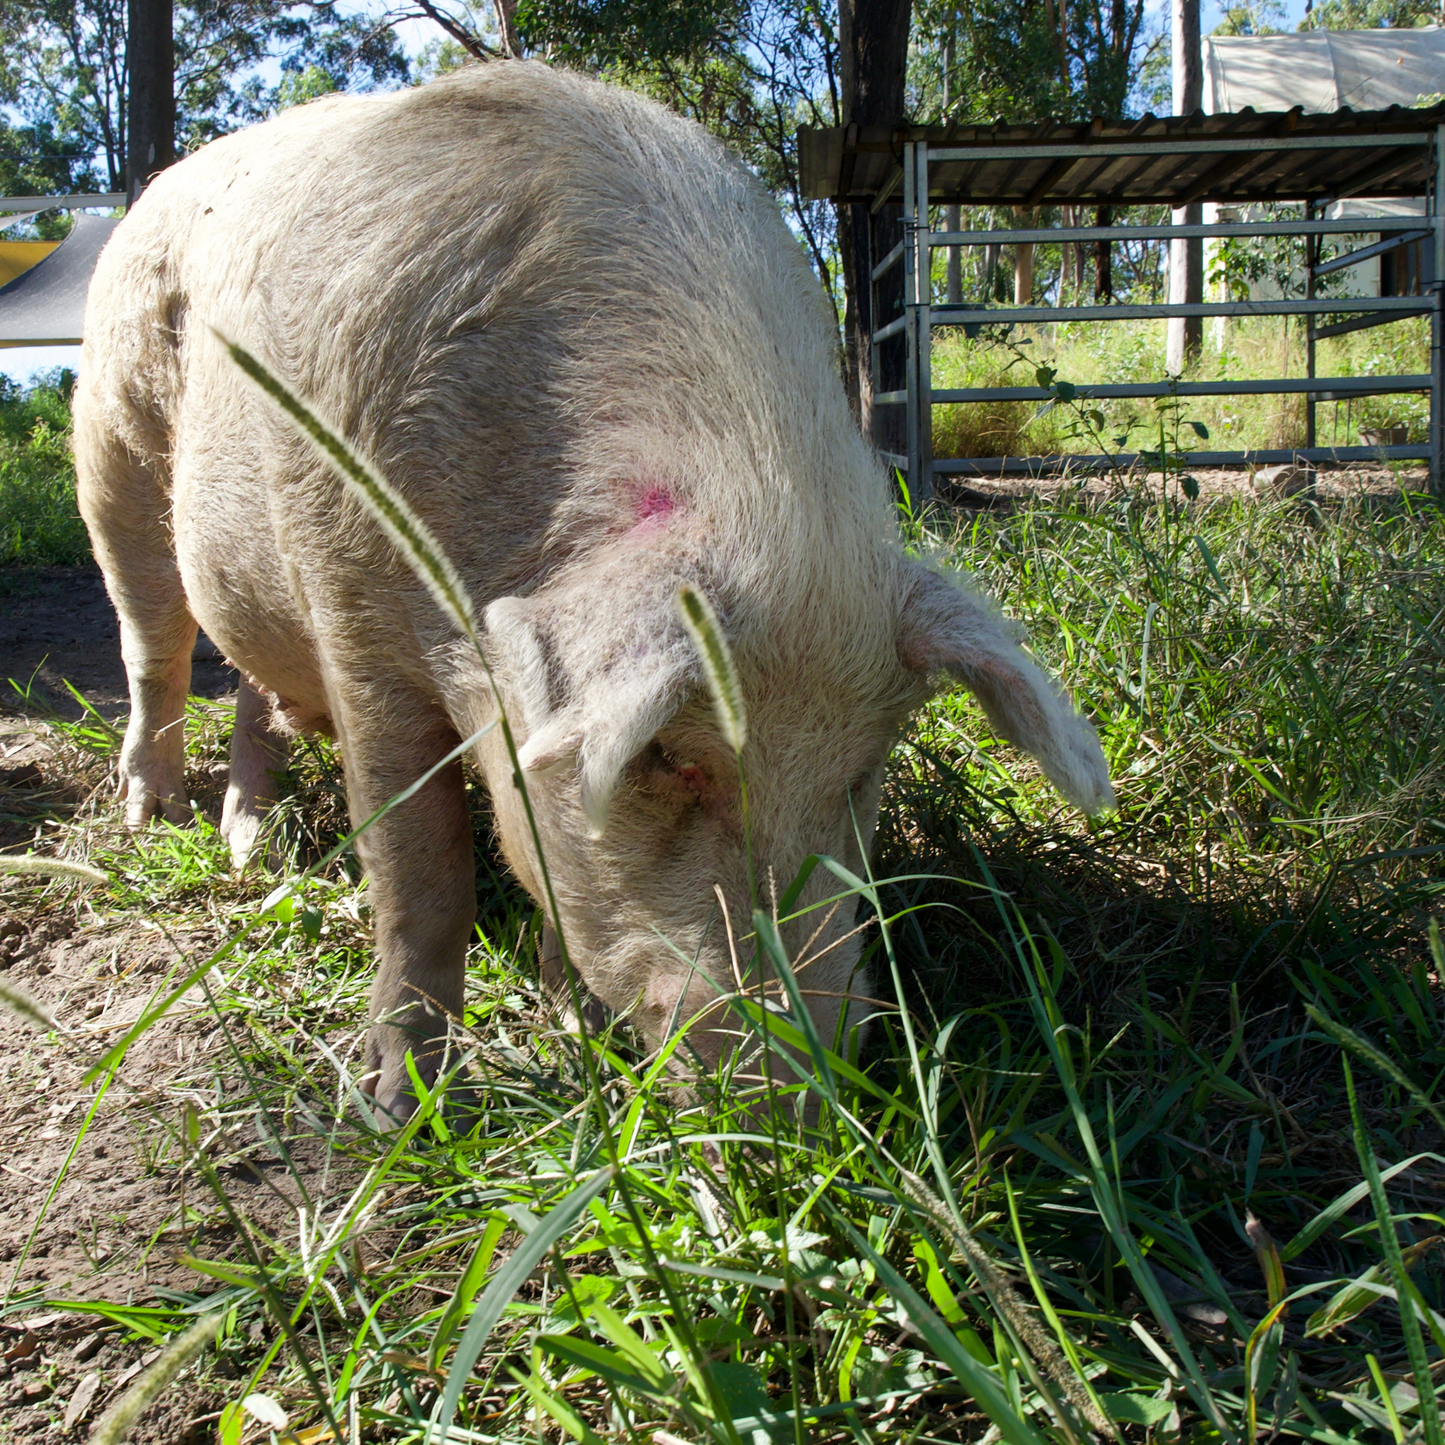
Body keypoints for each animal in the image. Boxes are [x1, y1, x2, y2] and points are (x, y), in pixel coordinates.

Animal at [73, 61, 1113, 1122]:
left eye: (861, 772)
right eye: (663, 756)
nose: (806, 1108)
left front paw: (569, 1027)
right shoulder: (349, 598)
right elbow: (421, 874)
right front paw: (397, 1113)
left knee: (249, 681)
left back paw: (257, 843)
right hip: (113, 448)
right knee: (154, 648)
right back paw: (159, 819)